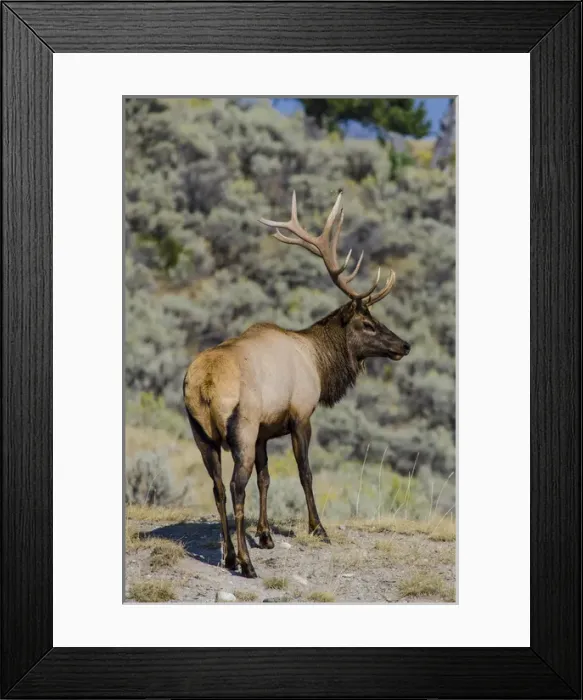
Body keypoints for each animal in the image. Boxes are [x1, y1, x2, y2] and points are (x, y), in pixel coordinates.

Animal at [183, 191, 410, 578]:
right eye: (366, 323)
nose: (404, 345)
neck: (318, 362)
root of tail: (205, 385)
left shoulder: (264, 431)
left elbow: (266, 478)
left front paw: (266, 535)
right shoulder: (301, 415)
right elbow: (305, 474)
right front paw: (318, 528)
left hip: (202, 434)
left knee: (217, 487)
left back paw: (228, 556)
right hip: (240, 428)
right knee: (235, 487)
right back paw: (246, 563)